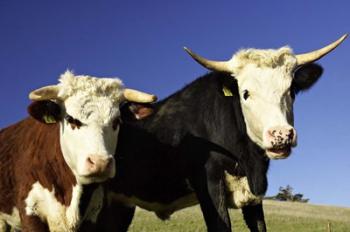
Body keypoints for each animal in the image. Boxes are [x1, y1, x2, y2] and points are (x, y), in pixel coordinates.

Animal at [97, 35, 346, 232]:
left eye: (292, 91)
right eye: (245, 93)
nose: (281, 135)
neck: (247, 160)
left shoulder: (254, 197)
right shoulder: (209, 184)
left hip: (119, 205)